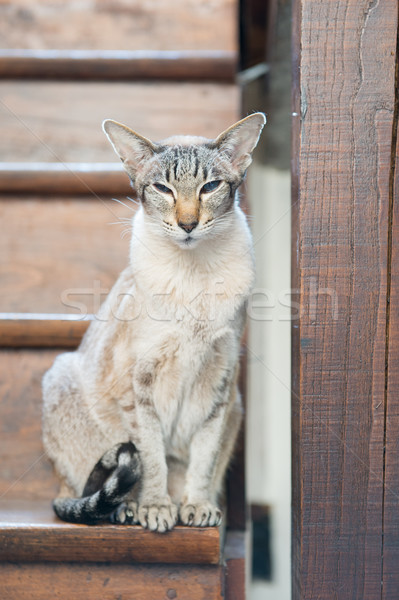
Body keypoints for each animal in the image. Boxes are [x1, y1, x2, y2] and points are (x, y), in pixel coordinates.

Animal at [41, 110, 266, 532]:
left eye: (210, 187)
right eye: (163, 189)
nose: (188, 224)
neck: (194, 277)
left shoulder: (220, 381)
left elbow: (203, 457)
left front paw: (195, 506)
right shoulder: (138, 386)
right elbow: (151, 456)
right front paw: (156, 508)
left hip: (236, 406)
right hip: (63, 377)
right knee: (85, 488)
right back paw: (128, 508)